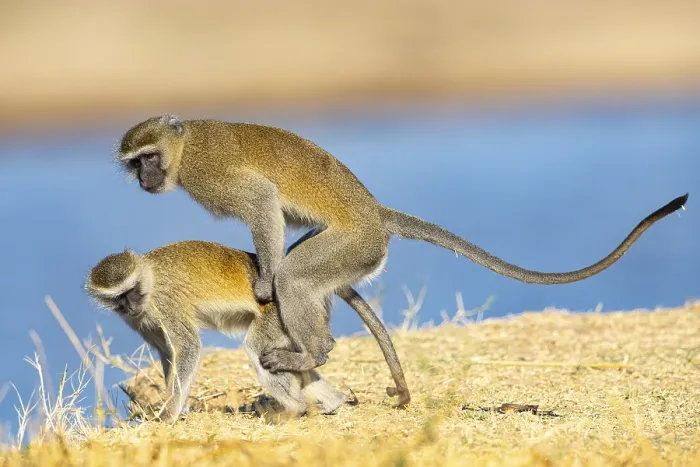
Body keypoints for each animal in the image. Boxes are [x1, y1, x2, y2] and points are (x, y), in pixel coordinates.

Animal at [85, 239, 411, 423]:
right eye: (119, 297)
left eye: (132, 290)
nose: (130, 304)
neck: (149, 279)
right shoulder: (139, 318)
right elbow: (167, 353)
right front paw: (177, 406)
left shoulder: (166, 302)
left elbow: (187, 348)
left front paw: (169, 415)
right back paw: (332, 402)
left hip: (282, 314)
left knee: (259, 350)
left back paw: (295, 408)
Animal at [116, 114, 689, 374]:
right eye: (134, 163)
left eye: (148, 158)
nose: (144, 179)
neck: (185, 146)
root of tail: (376, 214)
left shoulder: (209, 175)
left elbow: (262, 202)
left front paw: (261, 283)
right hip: (357, 252)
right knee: (309, 272)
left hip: (356, 244)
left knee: (295, 276)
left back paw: (313, 351)